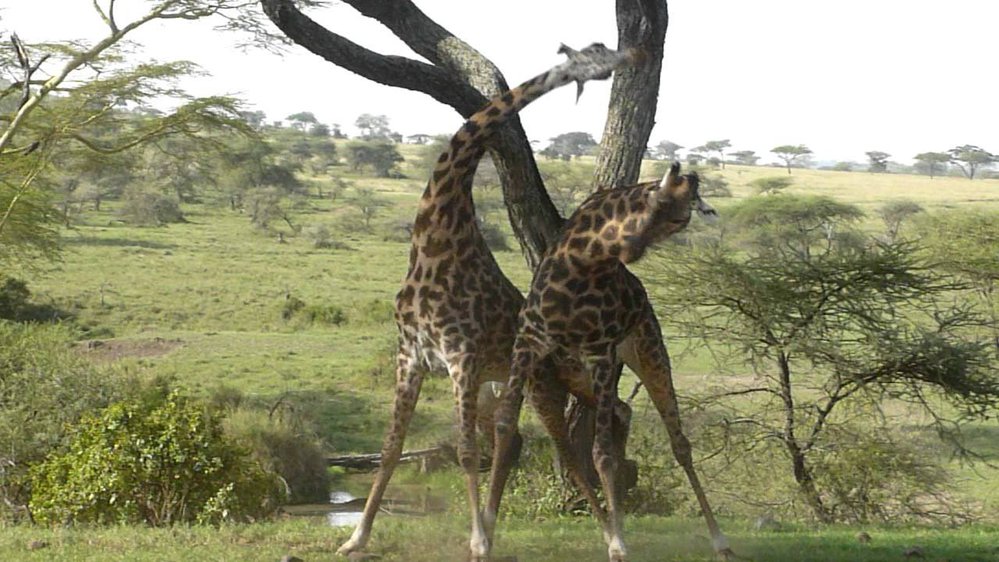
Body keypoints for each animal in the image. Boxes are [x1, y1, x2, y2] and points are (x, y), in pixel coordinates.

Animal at [332, 41, 636, 556]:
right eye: (596, 54)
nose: (628, 57)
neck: (434, 240)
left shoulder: (463, 357)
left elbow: (466, 448)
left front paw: (474, 539)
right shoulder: (410, 355)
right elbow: (391, 445)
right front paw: (355, 538)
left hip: (546, 382)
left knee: (583, 431)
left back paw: (611, 535)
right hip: (513, 386)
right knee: (525, 440)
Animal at [484, 160, 736, 556]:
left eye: (681, 220)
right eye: (657, 202)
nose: (632, 251)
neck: (579, 266)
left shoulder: (600, 353)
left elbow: (600, 451)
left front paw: (618, 546)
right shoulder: (527, 345)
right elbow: (505, 427)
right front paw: (482, 540)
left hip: (646, 351)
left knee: (678, 443)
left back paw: (718, 542)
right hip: (573, 375)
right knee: (614, 417)